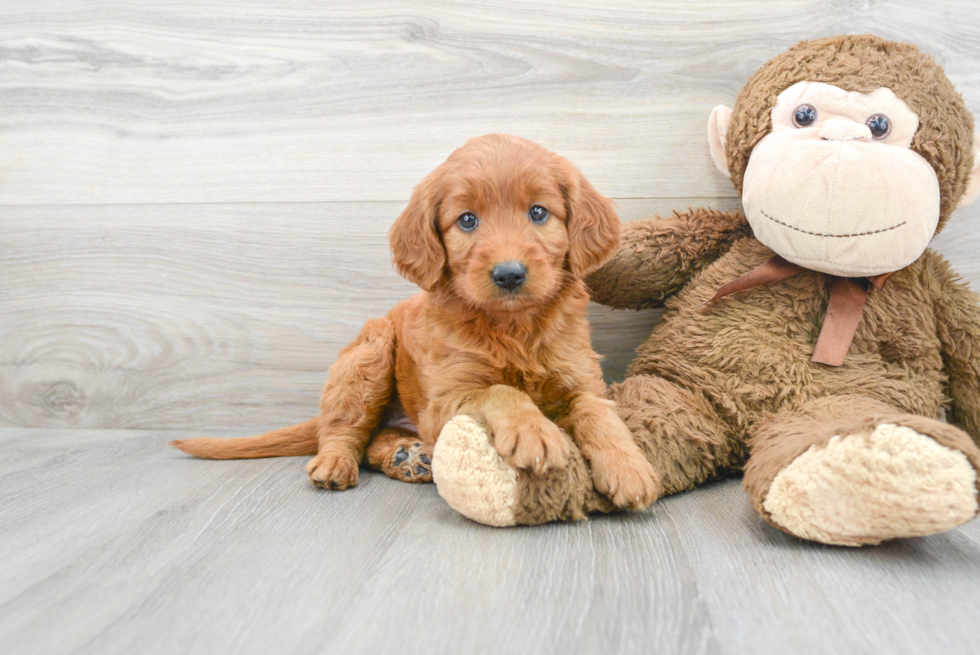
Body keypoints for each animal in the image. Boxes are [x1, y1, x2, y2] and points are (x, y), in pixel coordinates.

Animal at [171, 133, 660, 510]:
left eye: (538, 212)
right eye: (467, 220)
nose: (508, 274)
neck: (513, 328)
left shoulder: (581, 377)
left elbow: (596, 411)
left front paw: (629, 467)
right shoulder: (446, 399)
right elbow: (500, 390)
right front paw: (533, 430)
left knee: (375, 438)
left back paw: (410, 456)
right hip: (369, 354)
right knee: (344, 428)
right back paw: (338, 463)